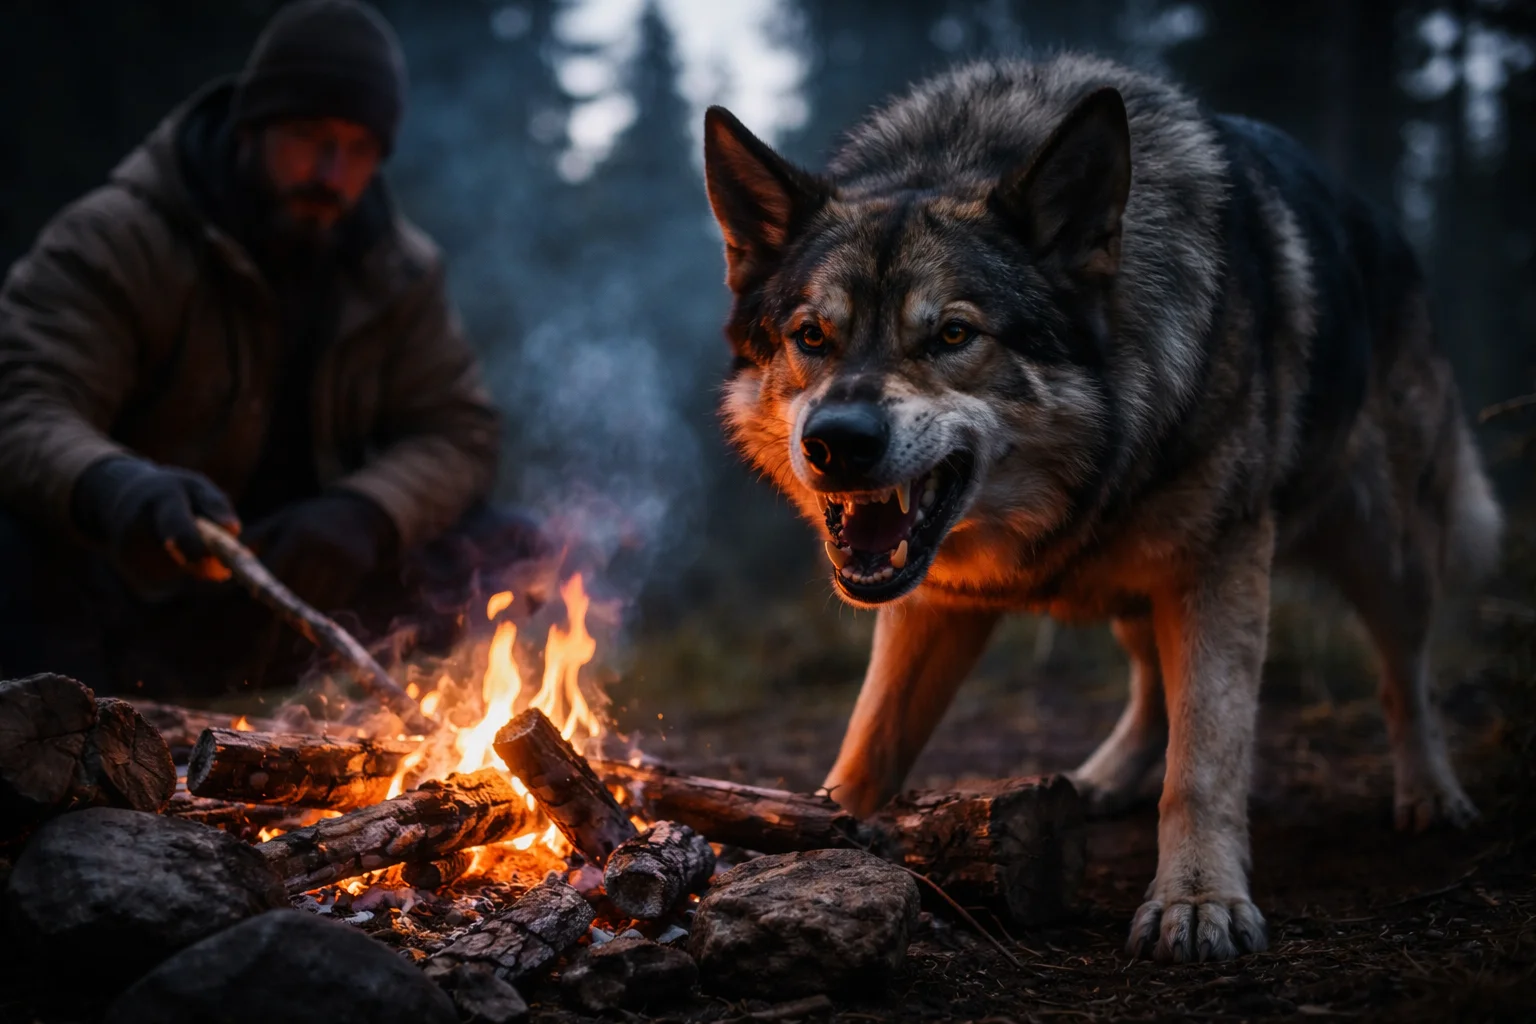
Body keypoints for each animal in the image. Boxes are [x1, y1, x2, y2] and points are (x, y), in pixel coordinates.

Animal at [701, 53, 1502, 963]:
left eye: (952, 335)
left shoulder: (1221, 562)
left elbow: (1203, 760)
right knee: (1153, 681)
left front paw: (1199, 902)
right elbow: (870, 742)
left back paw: (1431, 795)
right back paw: (1106, 779)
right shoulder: (938, 602)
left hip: (1382, 554)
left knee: (1406, 678)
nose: (837, 442)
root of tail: (1386, 225)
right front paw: (807, 836)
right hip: (1141, 581)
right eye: (812, 335)